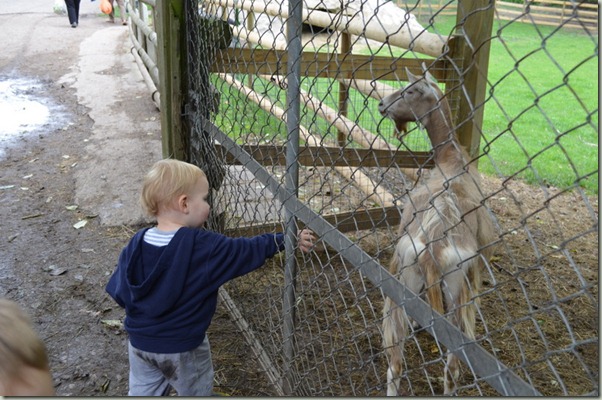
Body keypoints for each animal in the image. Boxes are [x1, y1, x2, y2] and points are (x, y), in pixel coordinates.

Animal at [378, 69, 496, 395]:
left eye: (411, 90)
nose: (381, 104)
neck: (451, 158)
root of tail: (433, 248)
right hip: (457, 291)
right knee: (451, 368)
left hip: (406, 280)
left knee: (396, 361)